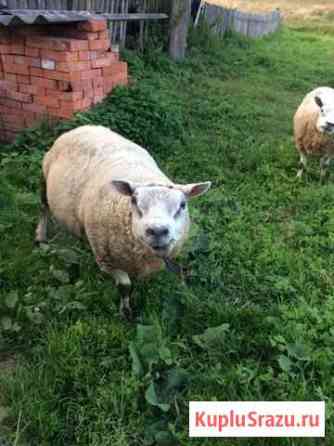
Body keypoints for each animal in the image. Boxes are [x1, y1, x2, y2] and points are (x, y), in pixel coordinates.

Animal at [34, 125, 211, 318]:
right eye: (134, 201)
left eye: (182, 205)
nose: (157, 231)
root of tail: (84, 127)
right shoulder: (107, 261)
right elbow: (125, 287)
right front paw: (126, 312)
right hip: (44, 179)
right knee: (43, 209)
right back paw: (41, 237)